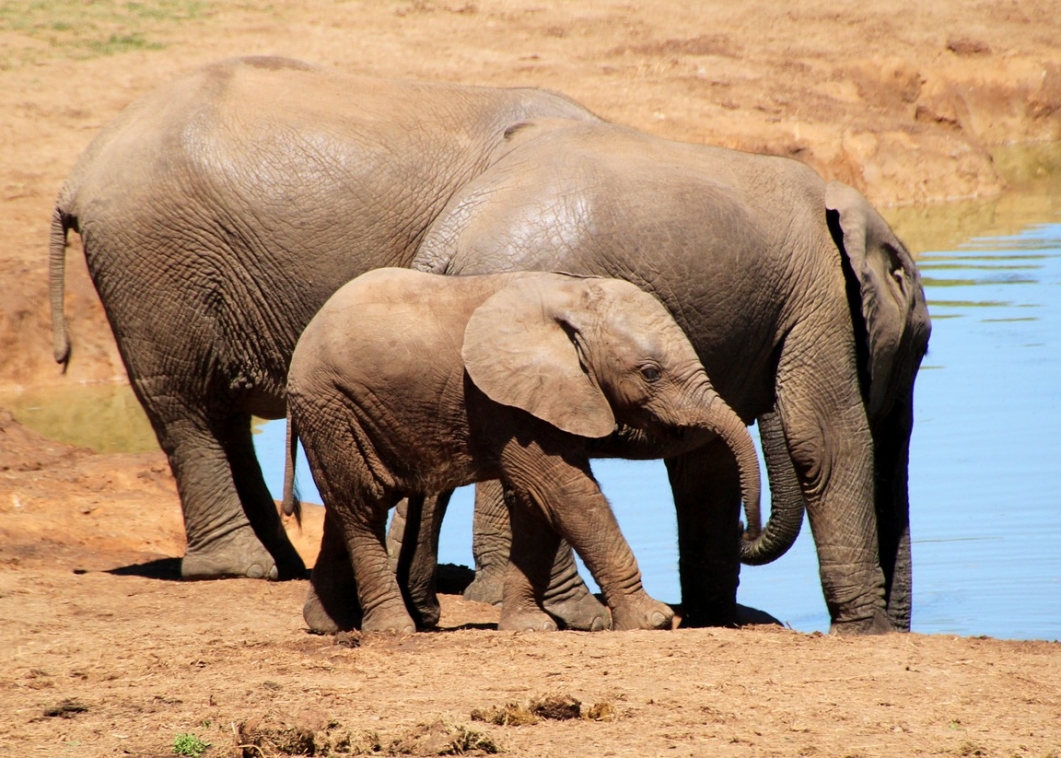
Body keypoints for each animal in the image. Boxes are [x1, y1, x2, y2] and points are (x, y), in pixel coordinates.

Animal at [282, 265, 763, 632]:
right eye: (650, 373)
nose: (746, 535)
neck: (570, 297)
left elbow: (537, 504)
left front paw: (529, 628)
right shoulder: (503, 400)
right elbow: (565, 492)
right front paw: (653, 622)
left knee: (345, 507)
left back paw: (330, 625)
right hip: (329, 404)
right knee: (361, 507)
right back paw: (393, 629)